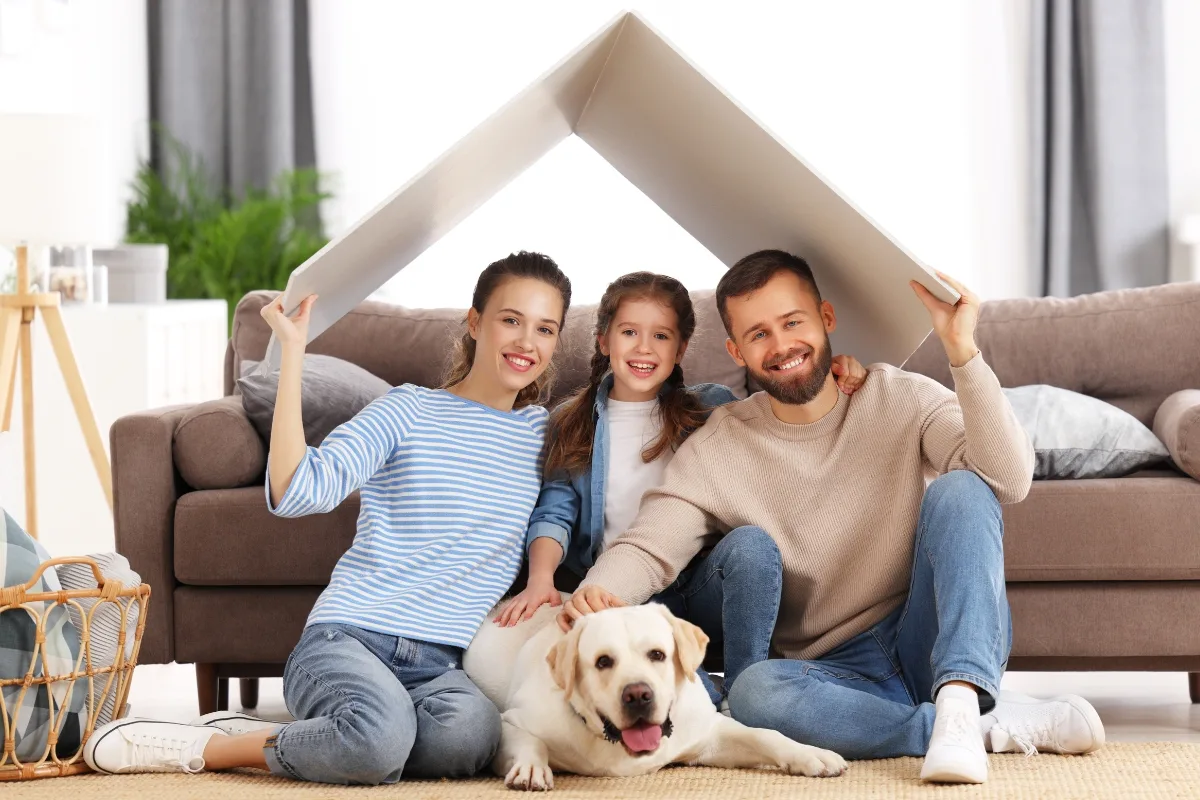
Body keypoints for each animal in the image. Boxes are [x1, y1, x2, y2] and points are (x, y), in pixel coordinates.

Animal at [458, 597, 844, 791]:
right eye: (602, 662)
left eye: (657, 655)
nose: (638, 695)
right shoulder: (511, 721)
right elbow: (530, 740)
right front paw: (531, 768)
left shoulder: (708, 735)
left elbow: (765, 734)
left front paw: (810, 754)